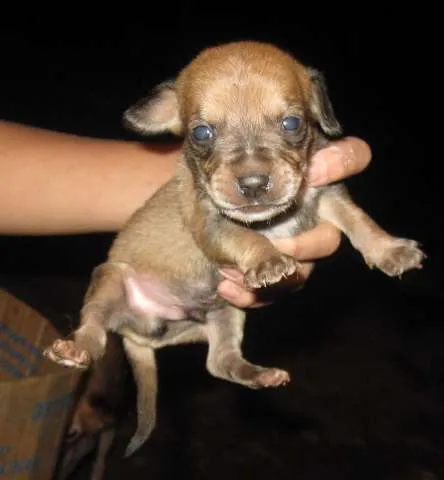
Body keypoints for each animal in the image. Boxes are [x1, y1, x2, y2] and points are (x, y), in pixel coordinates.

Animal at [43, 41, 424, 458]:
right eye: (201, 133)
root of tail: (141, 336)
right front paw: (269, 258)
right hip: (110, 279)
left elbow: (359, 220)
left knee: (220, 362)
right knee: (93, 327)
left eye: (293, 124)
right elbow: (247, 237)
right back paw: (76, 349)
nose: (254, 183)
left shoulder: (326, 193)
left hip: (225, 313)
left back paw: (260, 374)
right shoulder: (212, 221)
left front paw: (389, 250)